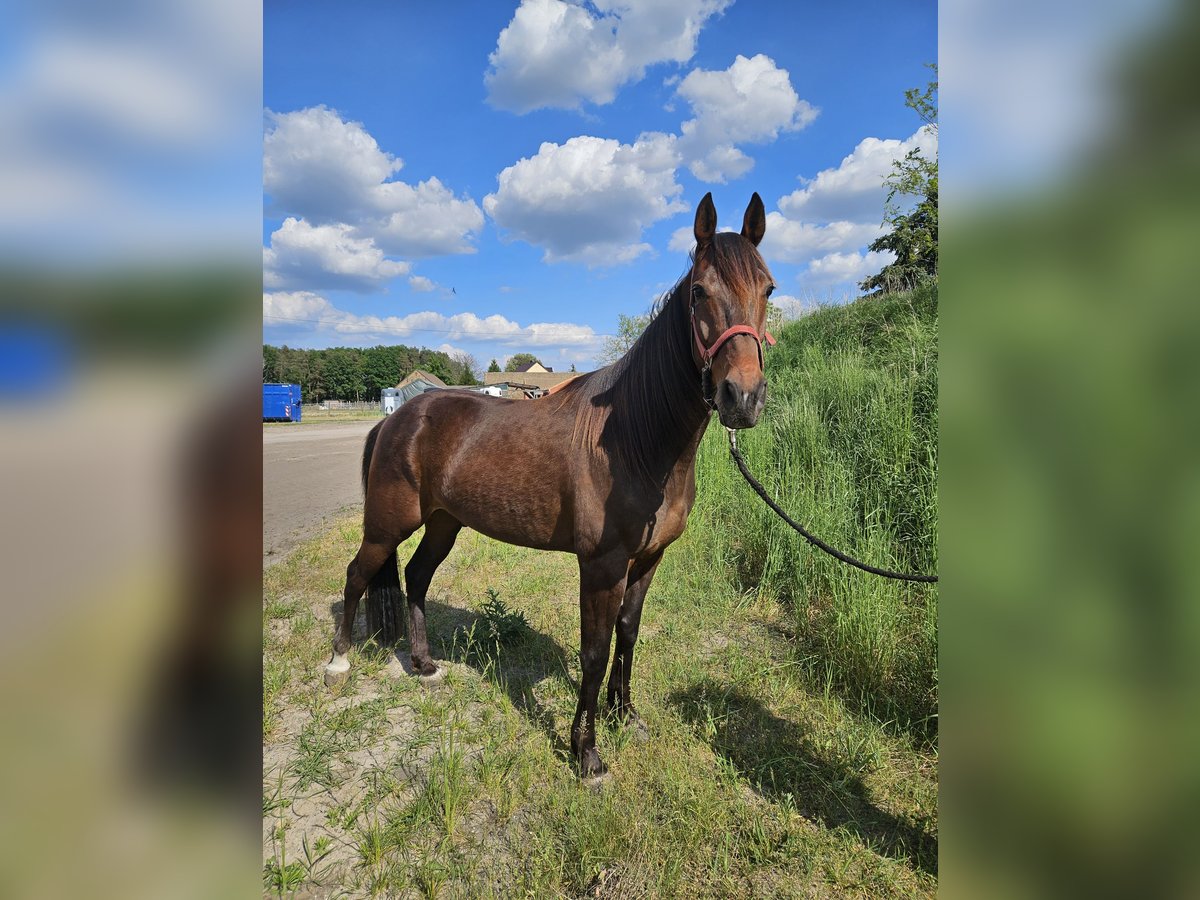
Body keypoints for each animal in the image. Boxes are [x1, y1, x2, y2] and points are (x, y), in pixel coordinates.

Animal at [326, 192, 777, 782]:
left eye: (768, 289)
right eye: (700, 291)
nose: (742, 398)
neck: (636, 440)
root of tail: (398, 417)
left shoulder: (649, 559)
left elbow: (628, 633)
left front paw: (626, 716)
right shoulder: (602, 565)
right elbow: (595, 651)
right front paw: (586, 753)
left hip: (445, 523)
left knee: (417, 577)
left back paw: (424, 664)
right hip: (387, 523)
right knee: (358, 574)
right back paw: (338, 663)